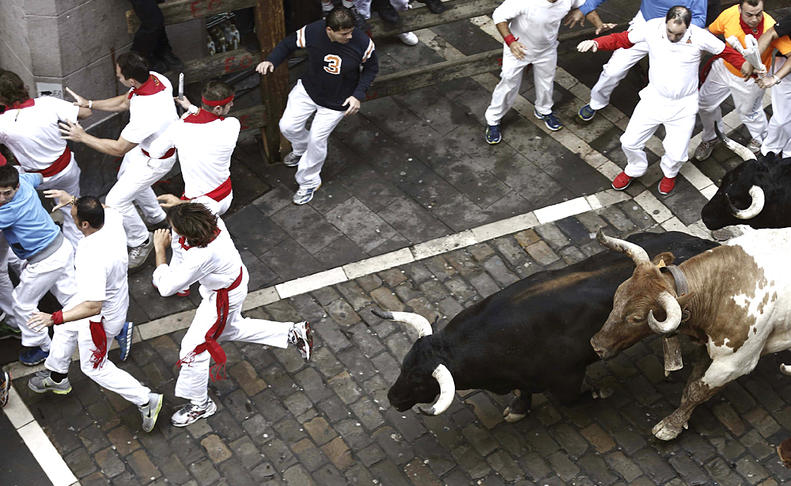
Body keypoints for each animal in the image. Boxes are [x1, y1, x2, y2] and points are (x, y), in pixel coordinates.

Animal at [378, 230, 716, 420]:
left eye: (420, 381)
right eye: (403, 367)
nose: (392, 398)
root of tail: (700, 241)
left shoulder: (567, 377)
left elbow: (572, 401)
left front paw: (601, 392)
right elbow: (524, 392)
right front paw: (518, 409)